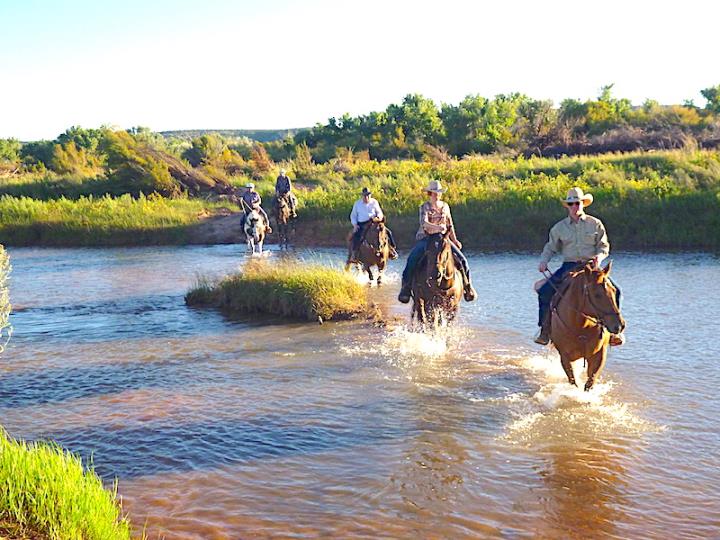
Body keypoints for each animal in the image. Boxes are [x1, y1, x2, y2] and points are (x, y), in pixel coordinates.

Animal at [549, 261, 626, 391]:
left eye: (614, 291)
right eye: (597, 295)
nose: (620, 325)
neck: (581, 328)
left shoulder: (599, 356)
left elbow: (590, 382)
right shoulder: (564, 357)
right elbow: (572, 380)